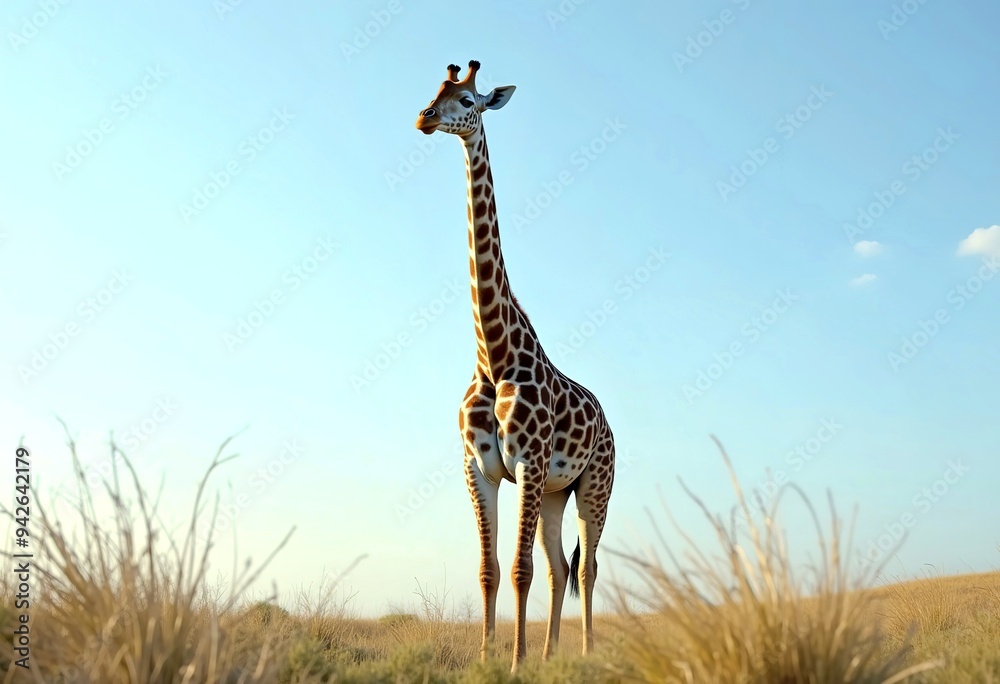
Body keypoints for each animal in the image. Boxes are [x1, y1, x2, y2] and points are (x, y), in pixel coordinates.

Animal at [415, 60, 615, 672]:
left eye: (468, 100)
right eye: (436, 90)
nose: (424, 118)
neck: (493, 355)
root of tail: (610, 424)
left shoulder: (526, 461)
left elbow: (520, 570)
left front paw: (515, 661)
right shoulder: (478, 467)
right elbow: (491, 569)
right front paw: (489, 658)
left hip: (595, 486)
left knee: (587, 566)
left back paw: (586, 652)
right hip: (555, 492)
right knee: (559, 567)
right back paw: (553, 654)